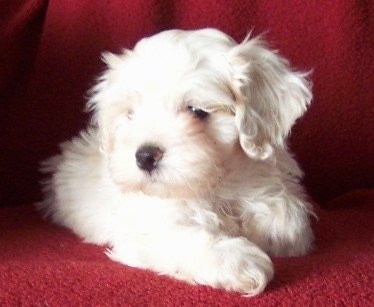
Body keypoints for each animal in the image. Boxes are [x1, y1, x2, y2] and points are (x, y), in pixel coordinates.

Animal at [38, 28, 314, 296]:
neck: (218, 184)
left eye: (197, 111)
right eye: (131, 114)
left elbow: (287, 220)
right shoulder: (148, 224)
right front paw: (238, 261)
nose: (145, 156)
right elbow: (184, 237)